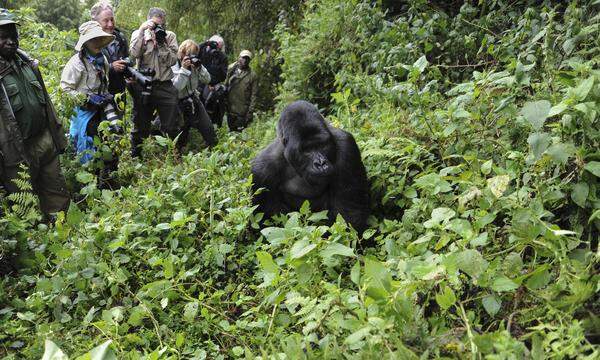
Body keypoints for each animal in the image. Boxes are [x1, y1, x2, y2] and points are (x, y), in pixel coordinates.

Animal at [250, 100, 370, 232]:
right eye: (307, 150)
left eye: (322, 145)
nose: (321, 163)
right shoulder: (261, 171)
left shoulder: (346, 146)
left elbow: (348, 214)